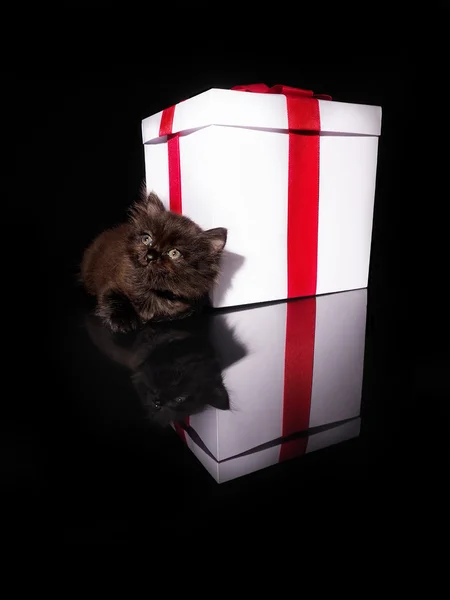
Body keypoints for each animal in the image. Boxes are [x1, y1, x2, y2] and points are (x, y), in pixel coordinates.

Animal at [79, 191, 227, 332]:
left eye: (174, 253)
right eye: (147, 239)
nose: (150, 256)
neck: (151, 290)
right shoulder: (113, 283)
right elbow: (113, 299)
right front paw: (123, 321)